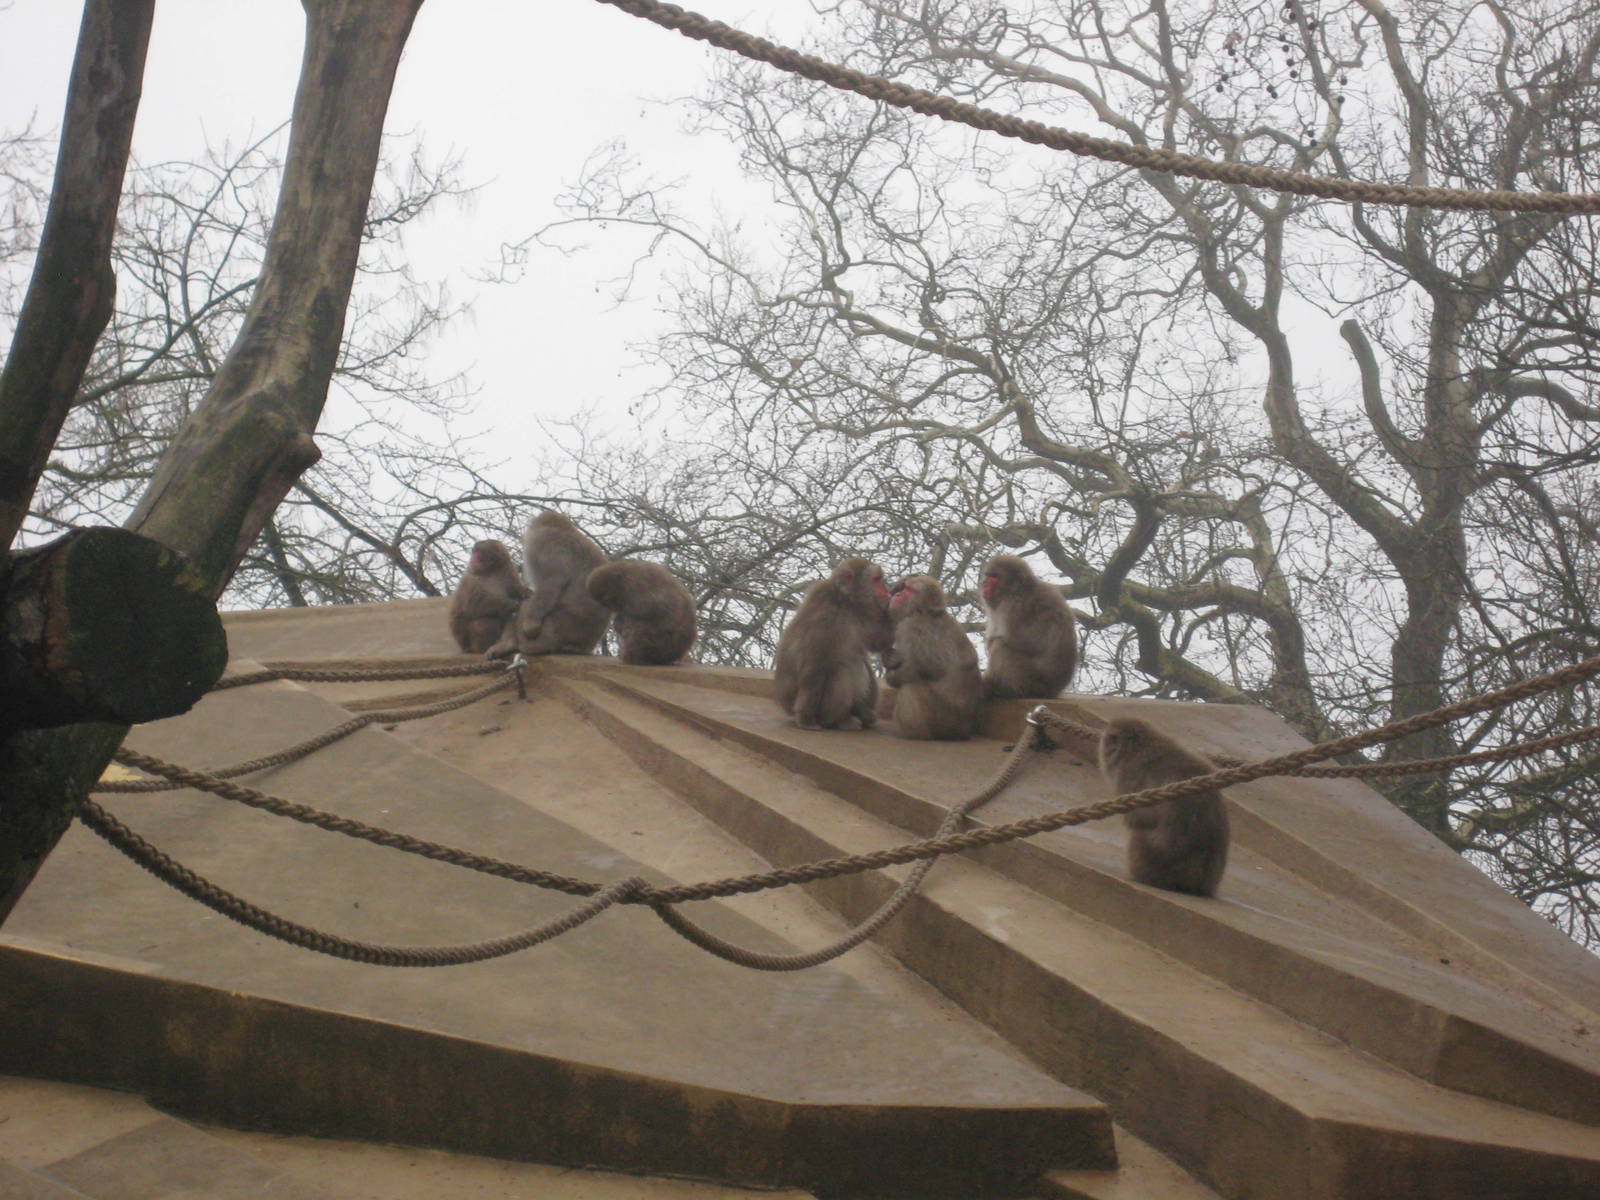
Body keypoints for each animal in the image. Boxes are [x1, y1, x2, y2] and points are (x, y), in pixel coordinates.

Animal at [773, 557, 895, 730]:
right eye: (876, 580)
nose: (885, 590)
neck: (846, 601)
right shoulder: (827, 617)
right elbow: (814, 666)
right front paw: (806, 720)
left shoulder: (864, 611)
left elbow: (877, 642)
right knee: (842, 670)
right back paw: (838, 720)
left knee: (859, 661)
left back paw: (862, 712)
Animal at [881, 574, 983, 740]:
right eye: (905, 588)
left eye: (909, 590)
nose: (898, 594)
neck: (923, 613)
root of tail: (961, 733)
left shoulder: (911, 626)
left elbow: (924, 668)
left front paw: (892, 675)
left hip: (940, 721)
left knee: (912, 687)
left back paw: (911, 734)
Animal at [979, 554, 1078, 699]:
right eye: (988, 575)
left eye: (995, 577)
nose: (984, 584)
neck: (1017, 591)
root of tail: (1052, 691)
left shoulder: (1013, 608)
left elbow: (1024, 642)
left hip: (1030, 680)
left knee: (999, 646)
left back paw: (1005, 689)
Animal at [1098, 716, 1230, 897]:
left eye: (1110, 738)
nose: (1105, 748)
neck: (1139, 747)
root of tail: (1198, 886)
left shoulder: (1129, 775)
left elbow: (1140, 818)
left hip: (1151, 862)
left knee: (1139, 835)